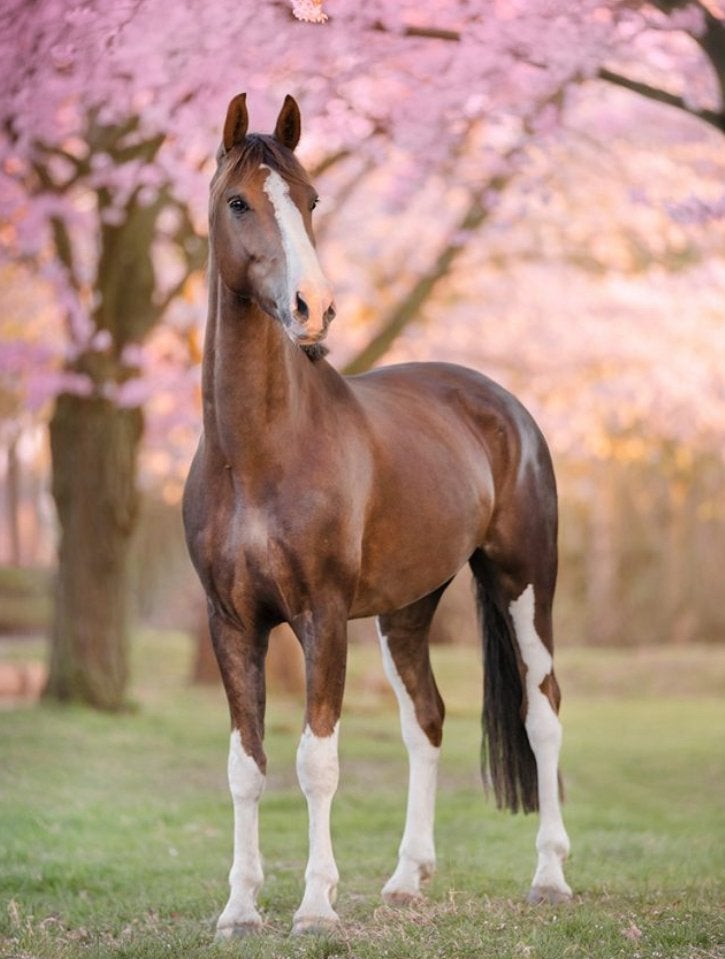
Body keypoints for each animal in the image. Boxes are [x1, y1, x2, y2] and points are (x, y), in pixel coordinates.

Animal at [183, 92, 572, 938]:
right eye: (238, 202)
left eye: (312, 199)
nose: (313, 307)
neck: (257, 452)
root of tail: (503, 406)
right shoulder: (231, 621)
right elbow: (245, 765)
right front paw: (239, 907)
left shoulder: (321, 615)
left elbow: (315, 760)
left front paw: (315, 906)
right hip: (406, 610)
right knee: (425, 719)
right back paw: (404, 879)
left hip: (524, 582)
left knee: (543, 712)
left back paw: (550, 877)